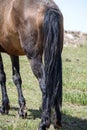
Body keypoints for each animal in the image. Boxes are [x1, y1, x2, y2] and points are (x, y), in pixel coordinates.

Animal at [0, 0, 64, 129]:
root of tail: (48, 7)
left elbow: (2, 76)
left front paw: (4, 107)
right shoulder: (13, 52)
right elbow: (17, 78)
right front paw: (22, 110)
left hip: (34, 58)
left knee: (45, 85)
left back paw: (44, 123)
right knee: (55, 84)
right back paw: (57, 122)